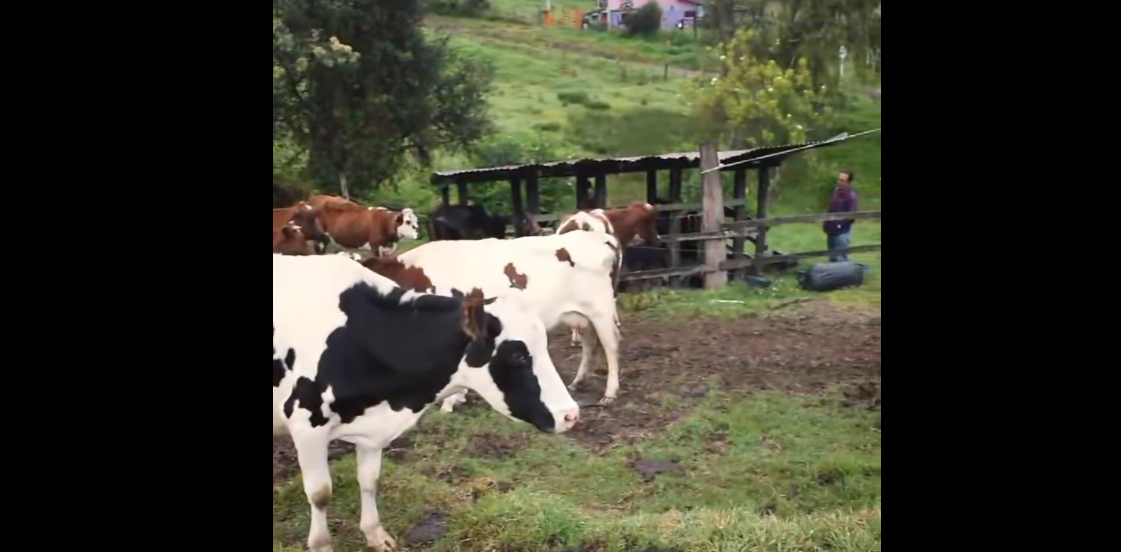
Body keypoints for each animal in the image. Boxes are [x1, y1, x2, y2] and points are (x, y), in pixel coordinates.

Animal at [271, 254, 578, 552]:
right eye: (517, 354)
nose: (571, 415)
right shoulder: (306, 424)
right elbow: (320, 493)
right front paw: (321, 544)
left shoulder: (373, 430)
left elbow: (369, 480)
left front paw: (374, 533)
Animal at [356, 228, 623, 406]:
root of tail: (600, 236)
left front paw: (451, 401)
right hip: (581, 315)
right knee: (589, 343)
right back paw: (578, 381)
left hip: (601, 310)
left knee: (610, 346)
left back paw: (610, 393)